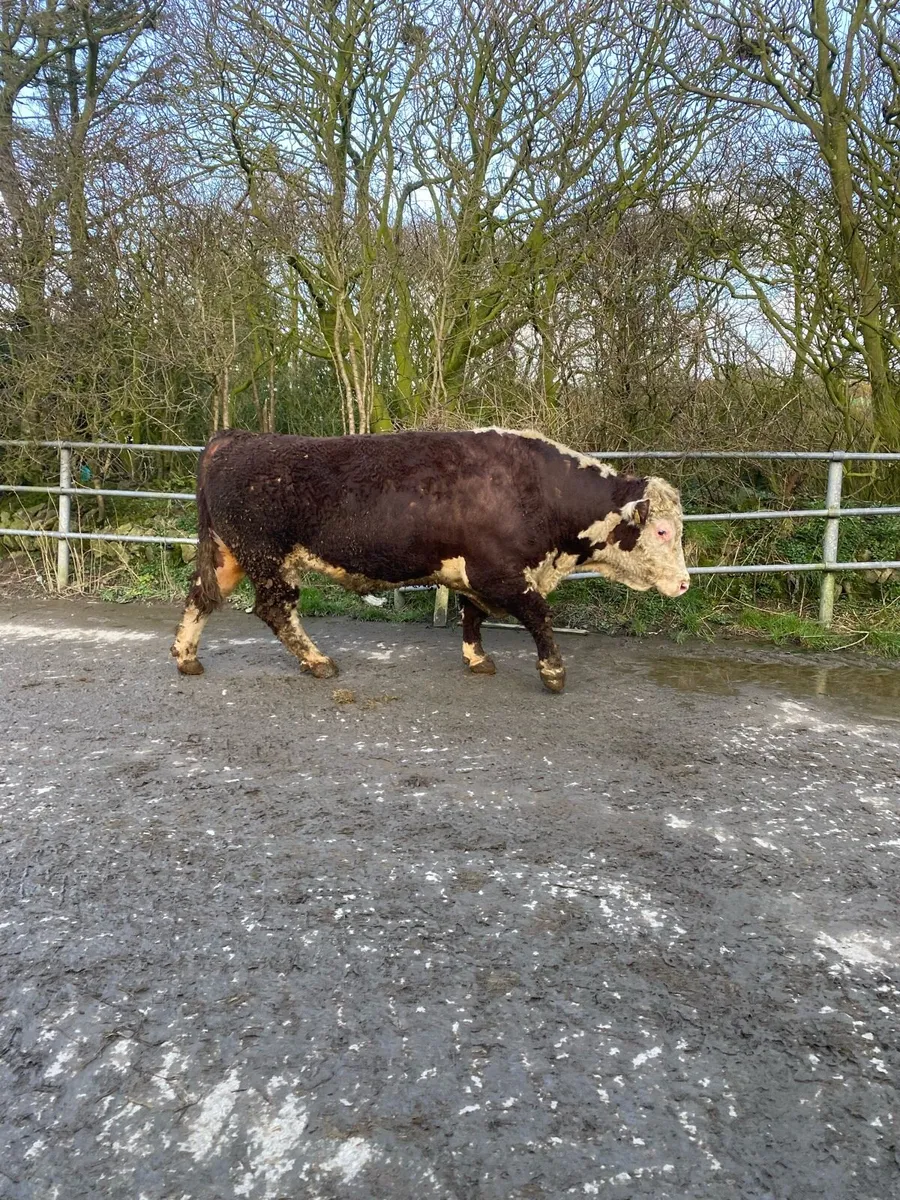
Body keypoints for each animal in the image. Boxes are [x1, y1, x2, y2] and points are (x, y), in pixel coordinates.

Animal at [172, 427, 689, 693]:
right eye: (663, 531)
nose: (685, 584)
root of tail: (234, 439)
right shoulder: (501, 573)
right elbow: (540, 616)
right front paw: (553, 673)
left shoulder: (478, 574)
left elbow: (473, 615)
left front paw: (477, 658)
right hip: (269, 559)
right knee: (274, 610)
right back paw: (318, 661)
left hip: (229, 555)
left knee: (200, 597)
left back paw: (186, 659)